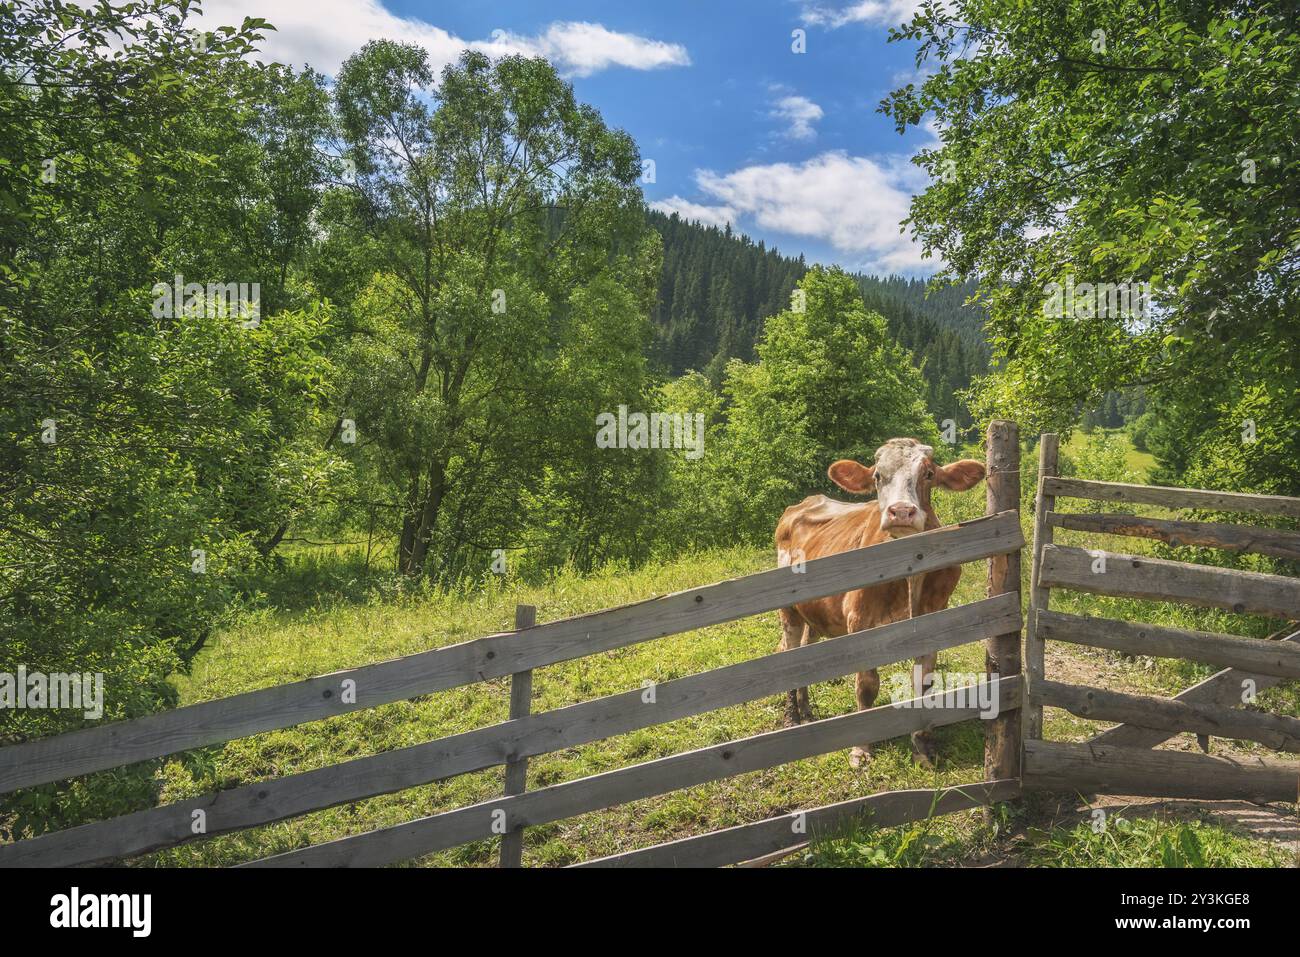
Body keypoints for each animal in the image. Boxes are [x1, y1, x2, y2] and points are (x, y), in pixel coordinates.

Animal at [774, 438, 986, 769]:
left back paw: (807, 713)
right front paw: (861, 749)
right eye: (877, 476)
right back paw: (792, 718)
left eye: (928, 474)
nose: (901, 512)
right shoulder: (860, 622)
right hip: (789, 611)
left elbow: (922, 683)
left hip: (815, 614)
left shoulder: (933, 622)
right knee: (789, 653)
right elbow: (867, 686)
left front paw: (922, 747)